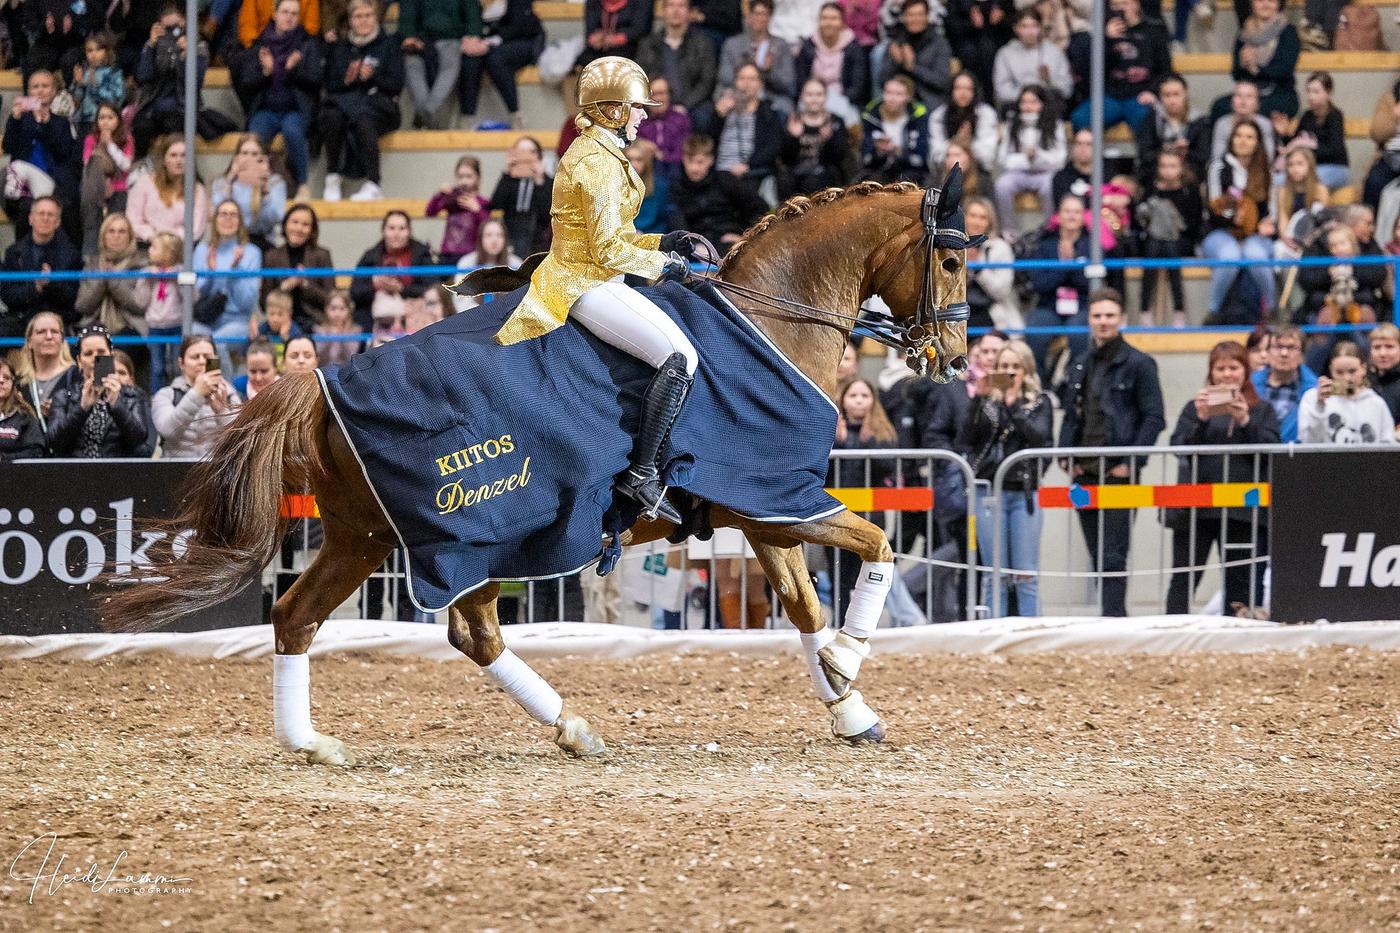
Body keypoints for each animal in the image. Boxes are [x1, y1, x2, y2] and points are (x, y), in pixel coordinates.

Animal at [101, 174, 974, 762]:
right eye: (953, 263)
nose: (956, 358)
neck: (771, 318)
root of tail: (320, 384)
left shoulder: (763, 509)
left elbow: (800, 602)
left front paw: (847, 705)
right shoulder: (777, 497)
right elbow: (874, 550)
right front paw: (846, 665)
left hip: (364, 536)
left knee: (303, 616)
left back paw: (316, 742)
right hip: (466, 536)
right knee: (464, 628)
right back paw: (568, 725)